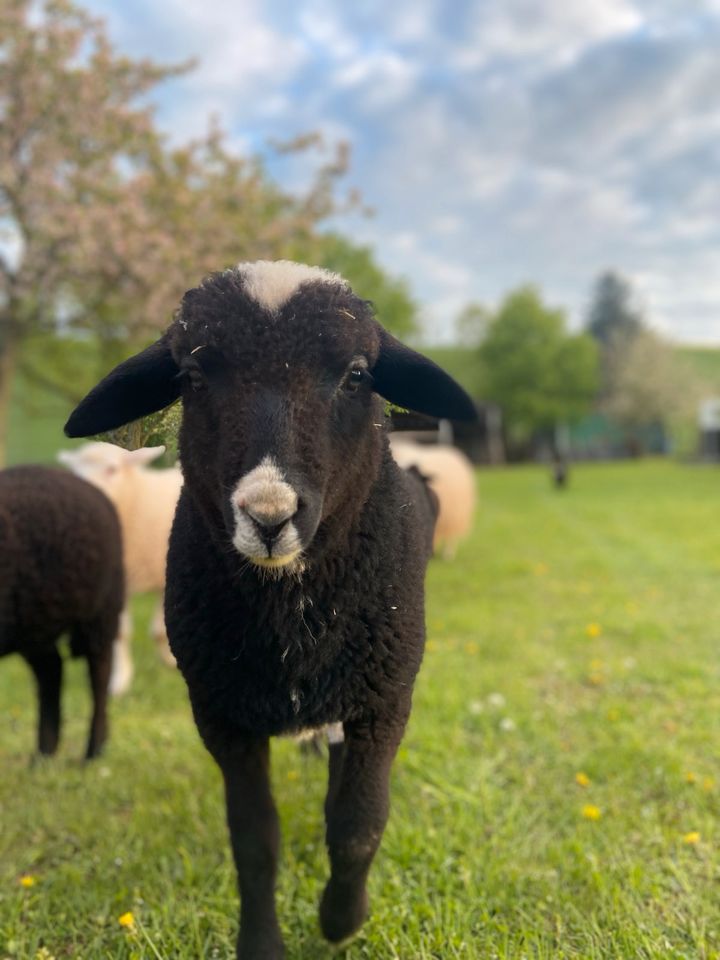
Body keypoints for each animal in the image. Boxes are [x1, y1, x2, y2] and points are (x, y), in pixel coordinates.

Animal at [0, 464, 123, 756]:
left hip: (101, 612)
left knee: (99, 675)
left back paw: (93, 750)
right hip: (34, 625)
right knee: (51, 671)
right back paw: (44, 754)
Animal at [58, 438, 183, 692]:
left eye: (112, 469)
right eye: (75, 473)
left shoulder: (165, 576)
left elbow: (159, 630)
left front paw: (170, 661)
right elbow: (121, 632)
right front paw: (120, 681)